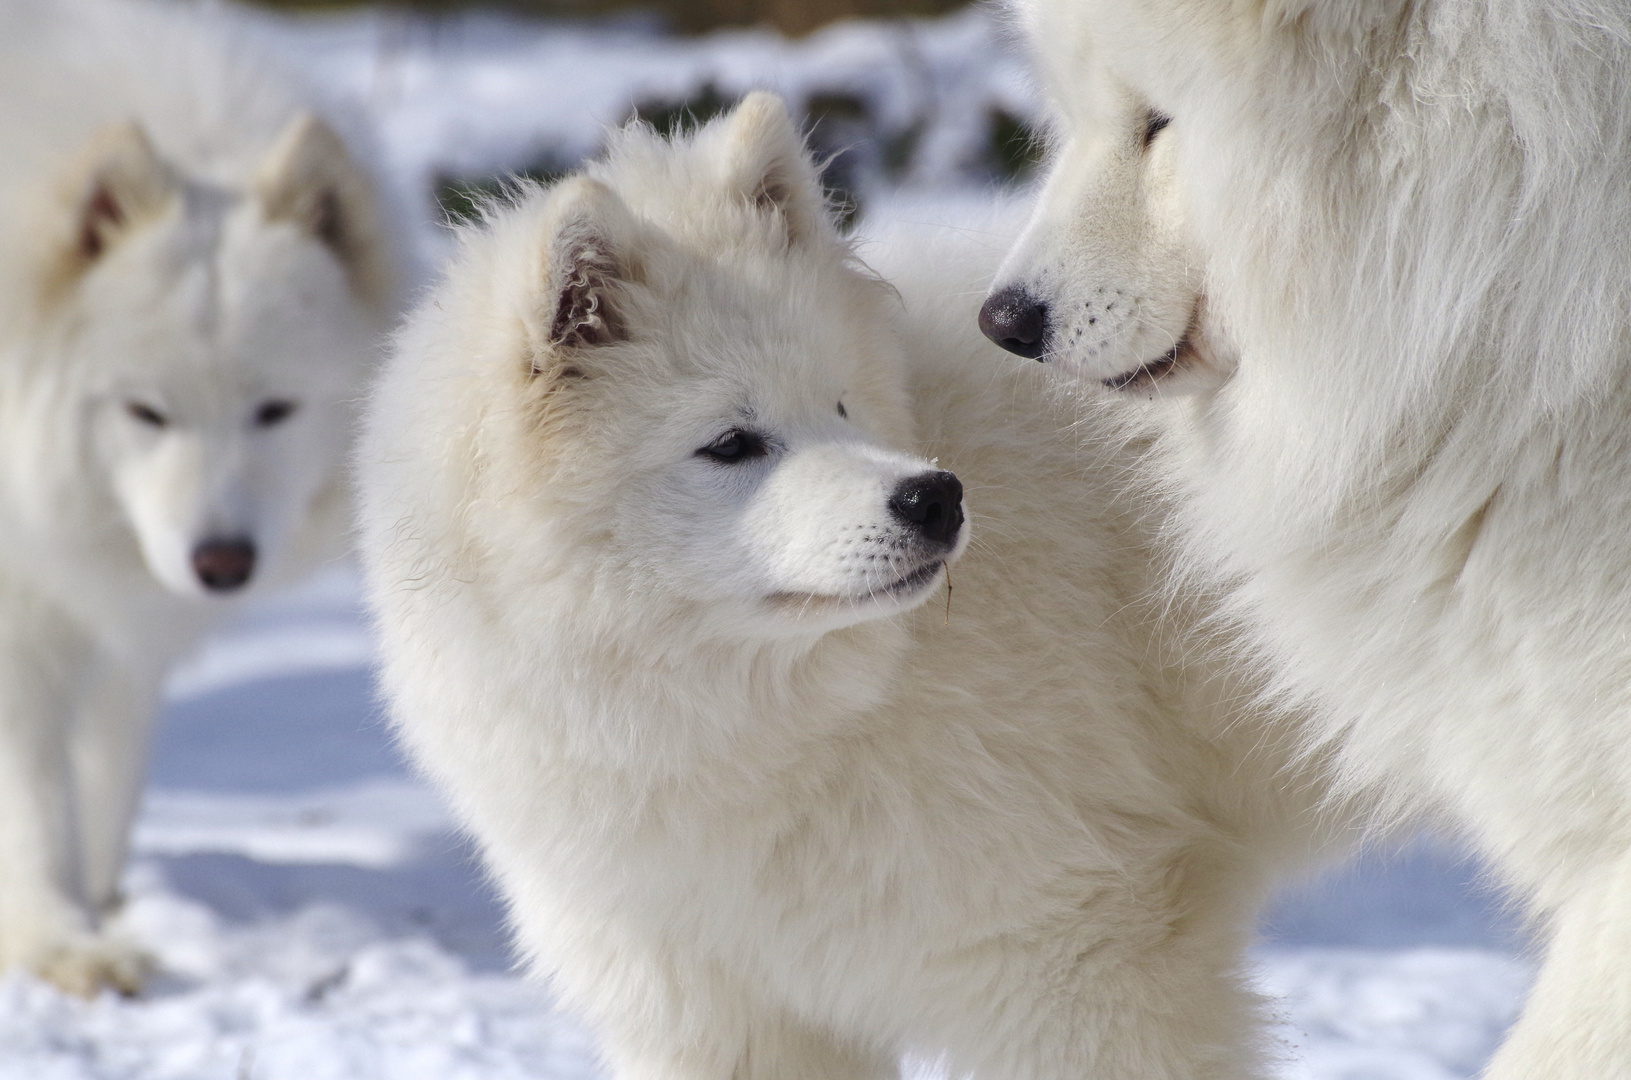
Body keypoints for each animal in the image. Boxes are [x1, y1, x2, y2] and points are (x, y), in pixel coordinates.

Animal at [0, 2, 397, 998]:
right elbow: (34, 805)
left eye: (274, 410)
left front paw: (100, 905)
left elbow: (103, 789)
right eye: (145, 411)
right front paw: (60, 942)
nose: (222, 563)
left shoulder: (117, 628)